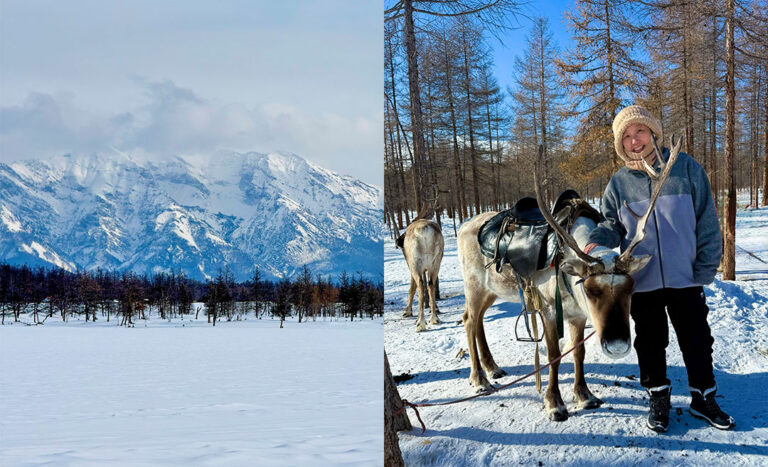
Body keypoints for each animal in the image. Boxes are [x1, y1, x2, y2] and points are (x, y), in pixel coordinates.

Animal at [457, 139, 681, 421]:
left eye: (631, 287)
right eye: (590, 289)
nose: (617, 346)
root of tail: (464, 225)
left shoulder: (578, 314)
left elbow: (579, 352)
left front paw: (584, 395)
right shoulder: (550, 309)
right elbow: (554, 355)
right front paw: (554, 403)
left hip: (492, 289)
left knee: (479, 321)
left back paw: (492, 368)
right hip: (473, 285)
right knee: (468, 319)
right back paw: (479, 379)